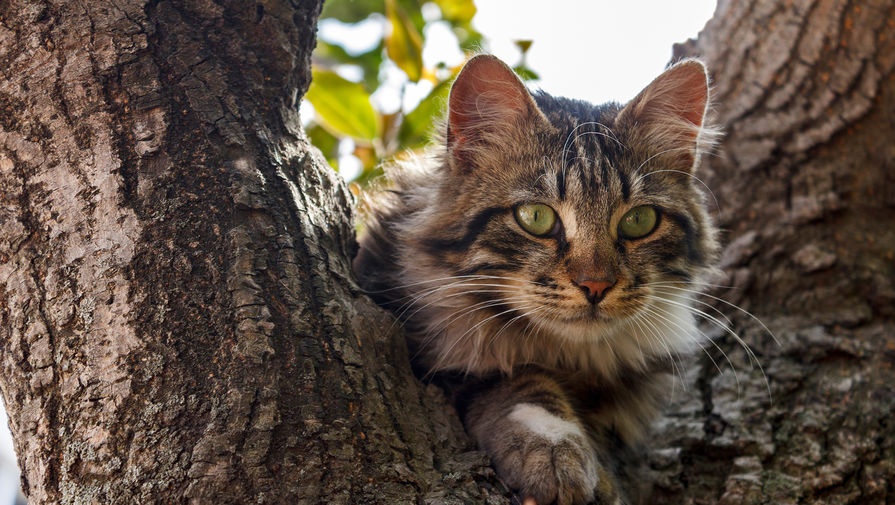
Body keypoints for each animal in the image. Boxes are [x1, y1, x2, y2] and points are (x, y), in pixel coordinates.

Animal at [352, 55, 720, 504]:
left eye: (638, 221)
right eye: (536, 218)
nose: (595, 286)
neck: (569, 358)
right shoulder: (442, 362)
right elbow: (523, 385)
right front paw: (556, 452)